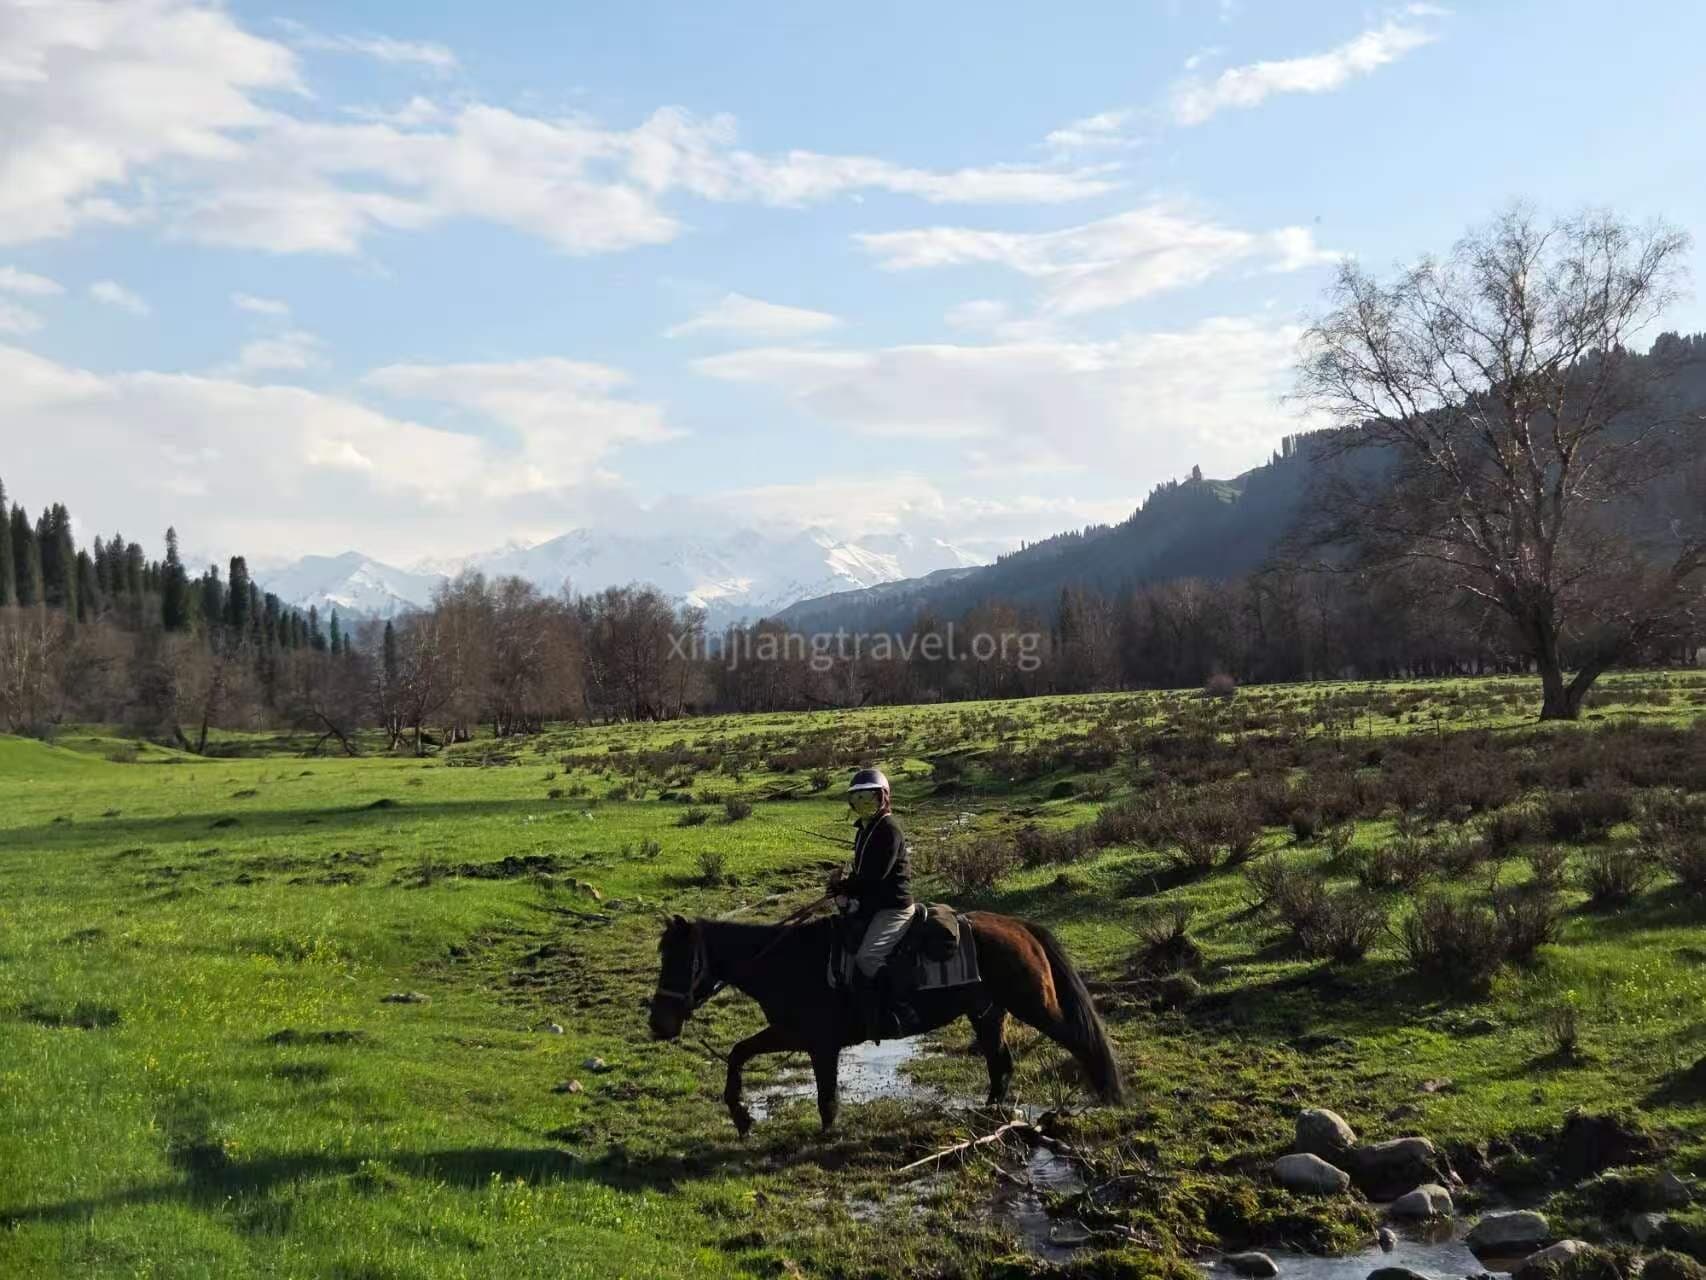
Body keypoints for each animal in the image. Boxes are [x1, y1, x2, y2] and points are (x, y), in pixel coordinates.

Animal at [647, 911, 1123, 1135]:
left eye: (683, 959)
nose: (659, 1023)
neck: (785, 961)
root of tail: (1019, 926)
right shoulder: (792, 1035)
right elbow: (738, 1052)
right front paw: (742, 1117)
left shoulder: (816, 1042)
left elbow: (825, 1095)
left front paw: (822, 1132)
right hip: (987, 1013)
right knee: (1000, 1064)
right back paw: (988, 1113)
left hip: (1033, 1006)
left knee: (1079, 1039)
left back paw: (1106, 1095)